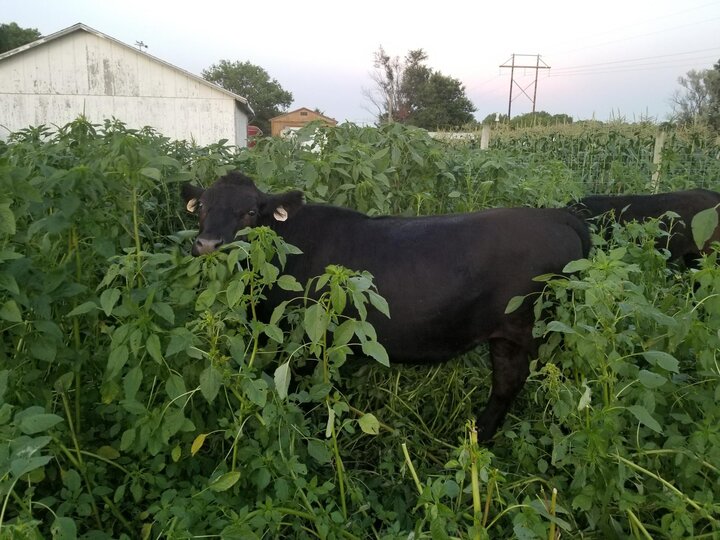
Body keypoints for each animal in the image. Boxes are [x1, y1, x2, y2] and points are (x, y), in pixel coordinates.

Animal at [182, 171, 591, 441]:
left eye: (251, 212)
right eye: (201, 206)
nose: (209, 244)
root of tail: (554, 214)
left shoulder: (305, 336)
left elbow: (305, 393)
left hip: (538, 331)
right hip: (512, 334)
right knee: (509, 384)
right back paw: (479, 436)